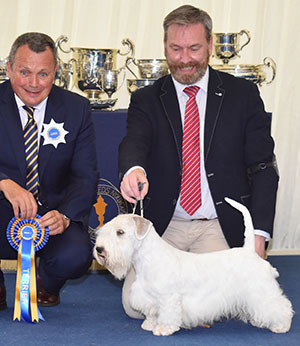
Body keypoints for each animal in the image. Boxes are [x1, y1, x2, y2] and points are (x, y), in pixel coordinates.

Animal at [94, 197, 292, 336]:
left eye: (120, 232)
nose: (99, 249)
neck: (146, 260)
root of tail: (250, 250)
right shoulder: (148, 297)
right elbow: (151, 312)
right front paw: (150, 323)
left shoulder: (169, 297)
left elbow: (168, 313)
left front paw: (163, 328)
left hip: (262, 290)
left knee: (280, 306)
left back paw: (281, 325)